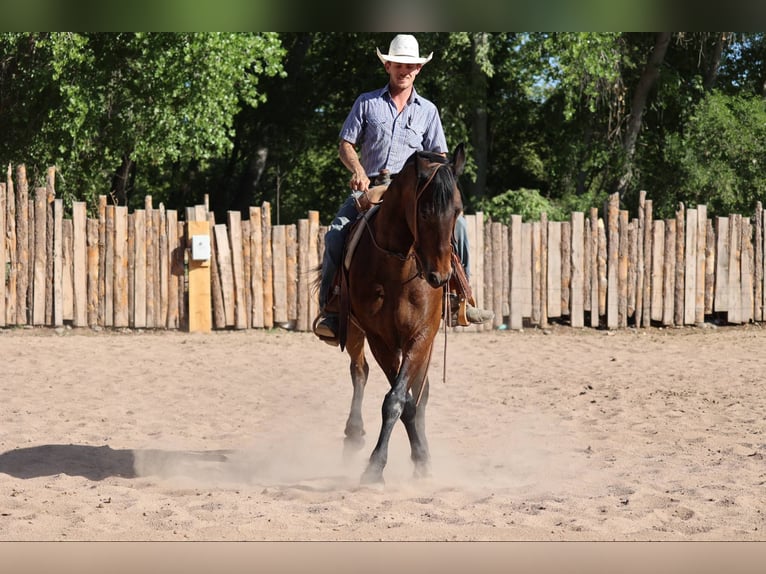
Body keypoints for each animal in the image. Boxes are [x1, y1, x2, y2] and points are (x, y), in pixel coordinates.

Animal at [337, 143, 466, 484]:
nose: (440, 276)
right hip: (353, 330)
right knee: (359, 371)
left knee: (420, 391)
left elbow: (405, 397)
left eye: (458, 210)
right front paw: (376, 466)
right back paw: (353, 434)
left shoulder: (421, 336)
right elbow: (398, 399)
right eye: (424, 211)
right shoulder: (379, 338)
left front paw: (421, 458)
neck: (399, 267)